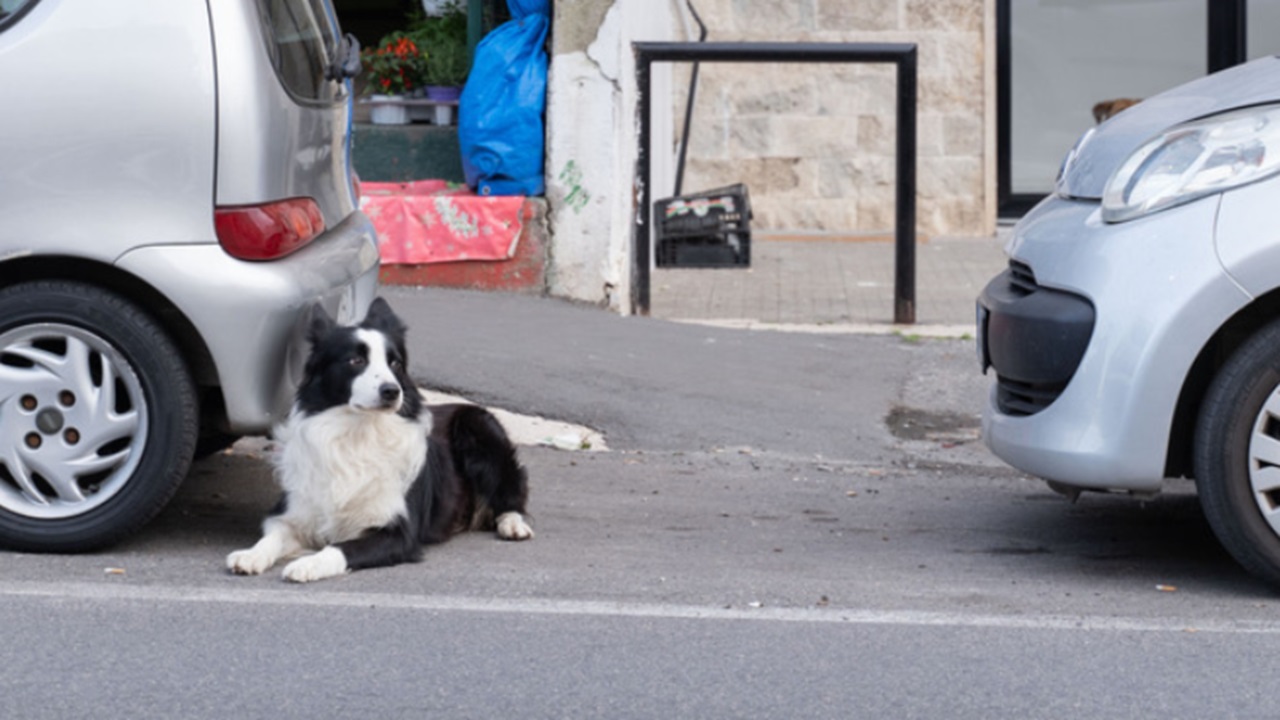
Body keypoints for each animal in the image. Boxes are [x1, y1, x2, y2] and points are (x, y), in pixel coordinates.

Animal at [227, 294, 532, 579]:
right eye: (356, 360)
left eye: (394, 363)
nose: (391, 391)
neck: (359, 432)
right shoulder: (292, 513)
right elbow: (272, 537)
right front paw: (250, 555)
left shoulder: (398, 533)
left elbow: (340, 547)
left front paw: (307, 565)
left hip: (480, 426)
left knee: (512, 495)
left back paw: (513, 524)